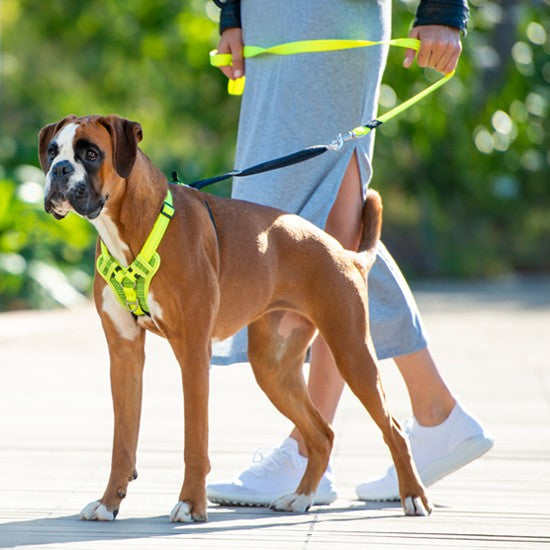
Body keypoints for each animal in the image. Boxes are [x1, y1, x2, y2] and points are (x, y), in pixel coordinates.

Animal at [40, 115, 436, 520]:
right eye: (52, 152)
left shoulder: (193, 353)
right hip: (273, 368)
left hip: (353, 353)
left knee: (393, 429)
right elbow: (122, 440)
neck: (133, 227)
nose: (60, 170)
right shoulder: (125, 354)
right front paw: (108, 503)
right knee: (322, 435)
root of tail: (345, 253)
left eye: (91, 153)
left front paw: (190, 504)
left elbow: (194, 439)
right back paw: (300, 497)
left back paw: (413, 496)